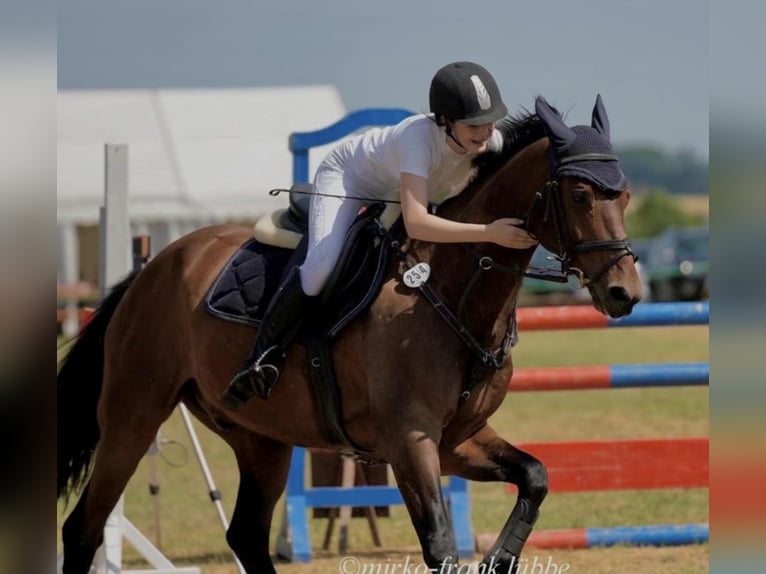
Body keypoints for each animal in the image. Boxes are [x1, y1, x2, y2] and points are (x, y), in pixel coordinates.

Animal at [58, 97, 640, 572]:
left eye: (626, 194)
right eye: (581, 194)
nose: (624, 293)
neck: (450, 294)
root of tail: (153, 268)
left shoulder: (456, 440)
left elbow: (535, 476)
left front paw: (500, 557)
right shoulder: (410, 440)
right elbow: (440, 546)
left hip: (261, 439)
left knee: (245, 535)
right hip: (133, 416)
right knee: (83, 528)